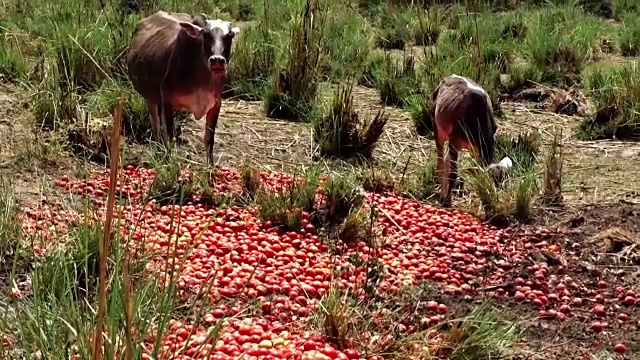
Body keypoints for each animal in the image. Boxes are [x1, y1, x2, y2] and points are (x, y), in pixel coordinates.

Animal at [127, 10, 240, 163]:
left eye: (230, 35)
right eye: (205, 34)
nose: (217, 60)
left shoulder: (215, 104)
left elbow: (209, 139)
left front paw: (209, 167)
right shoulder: (167, 101)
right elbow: (170, 136)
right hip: (148, 96)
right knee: (156, 125)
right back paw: (158, 152)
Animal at [430, 74, 510, 207]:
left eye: (503, 182)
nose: (495, 198)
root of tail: (450, 76)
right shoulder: (453, 142)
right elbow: (453, 173)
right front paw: (446, 201)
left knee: (446, 160)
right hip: (438, 128)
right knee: (441, 162)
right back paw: (443, 196)